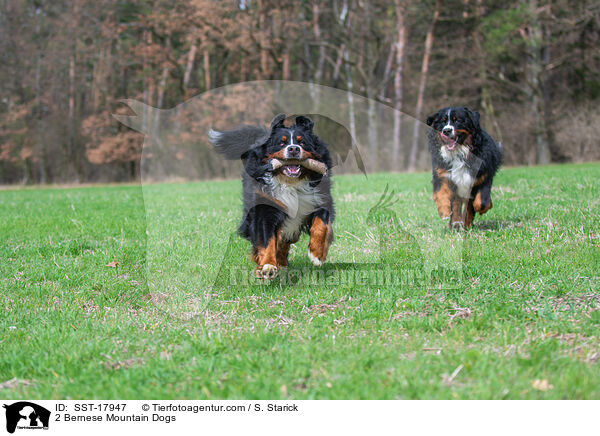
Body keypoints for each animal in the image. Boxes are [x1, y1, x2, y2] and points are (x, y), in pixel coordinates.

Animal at [209, 114, 336, 280]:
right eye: (281, 143)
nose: (293, 149)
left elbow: (321, 224)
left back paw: (282, 262)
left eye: (302, 142)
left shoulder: (320, 198)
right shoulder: (265, 210)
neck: (290, 183)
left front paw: (317, 254)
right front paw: (267, 266)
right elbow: (267, 240)